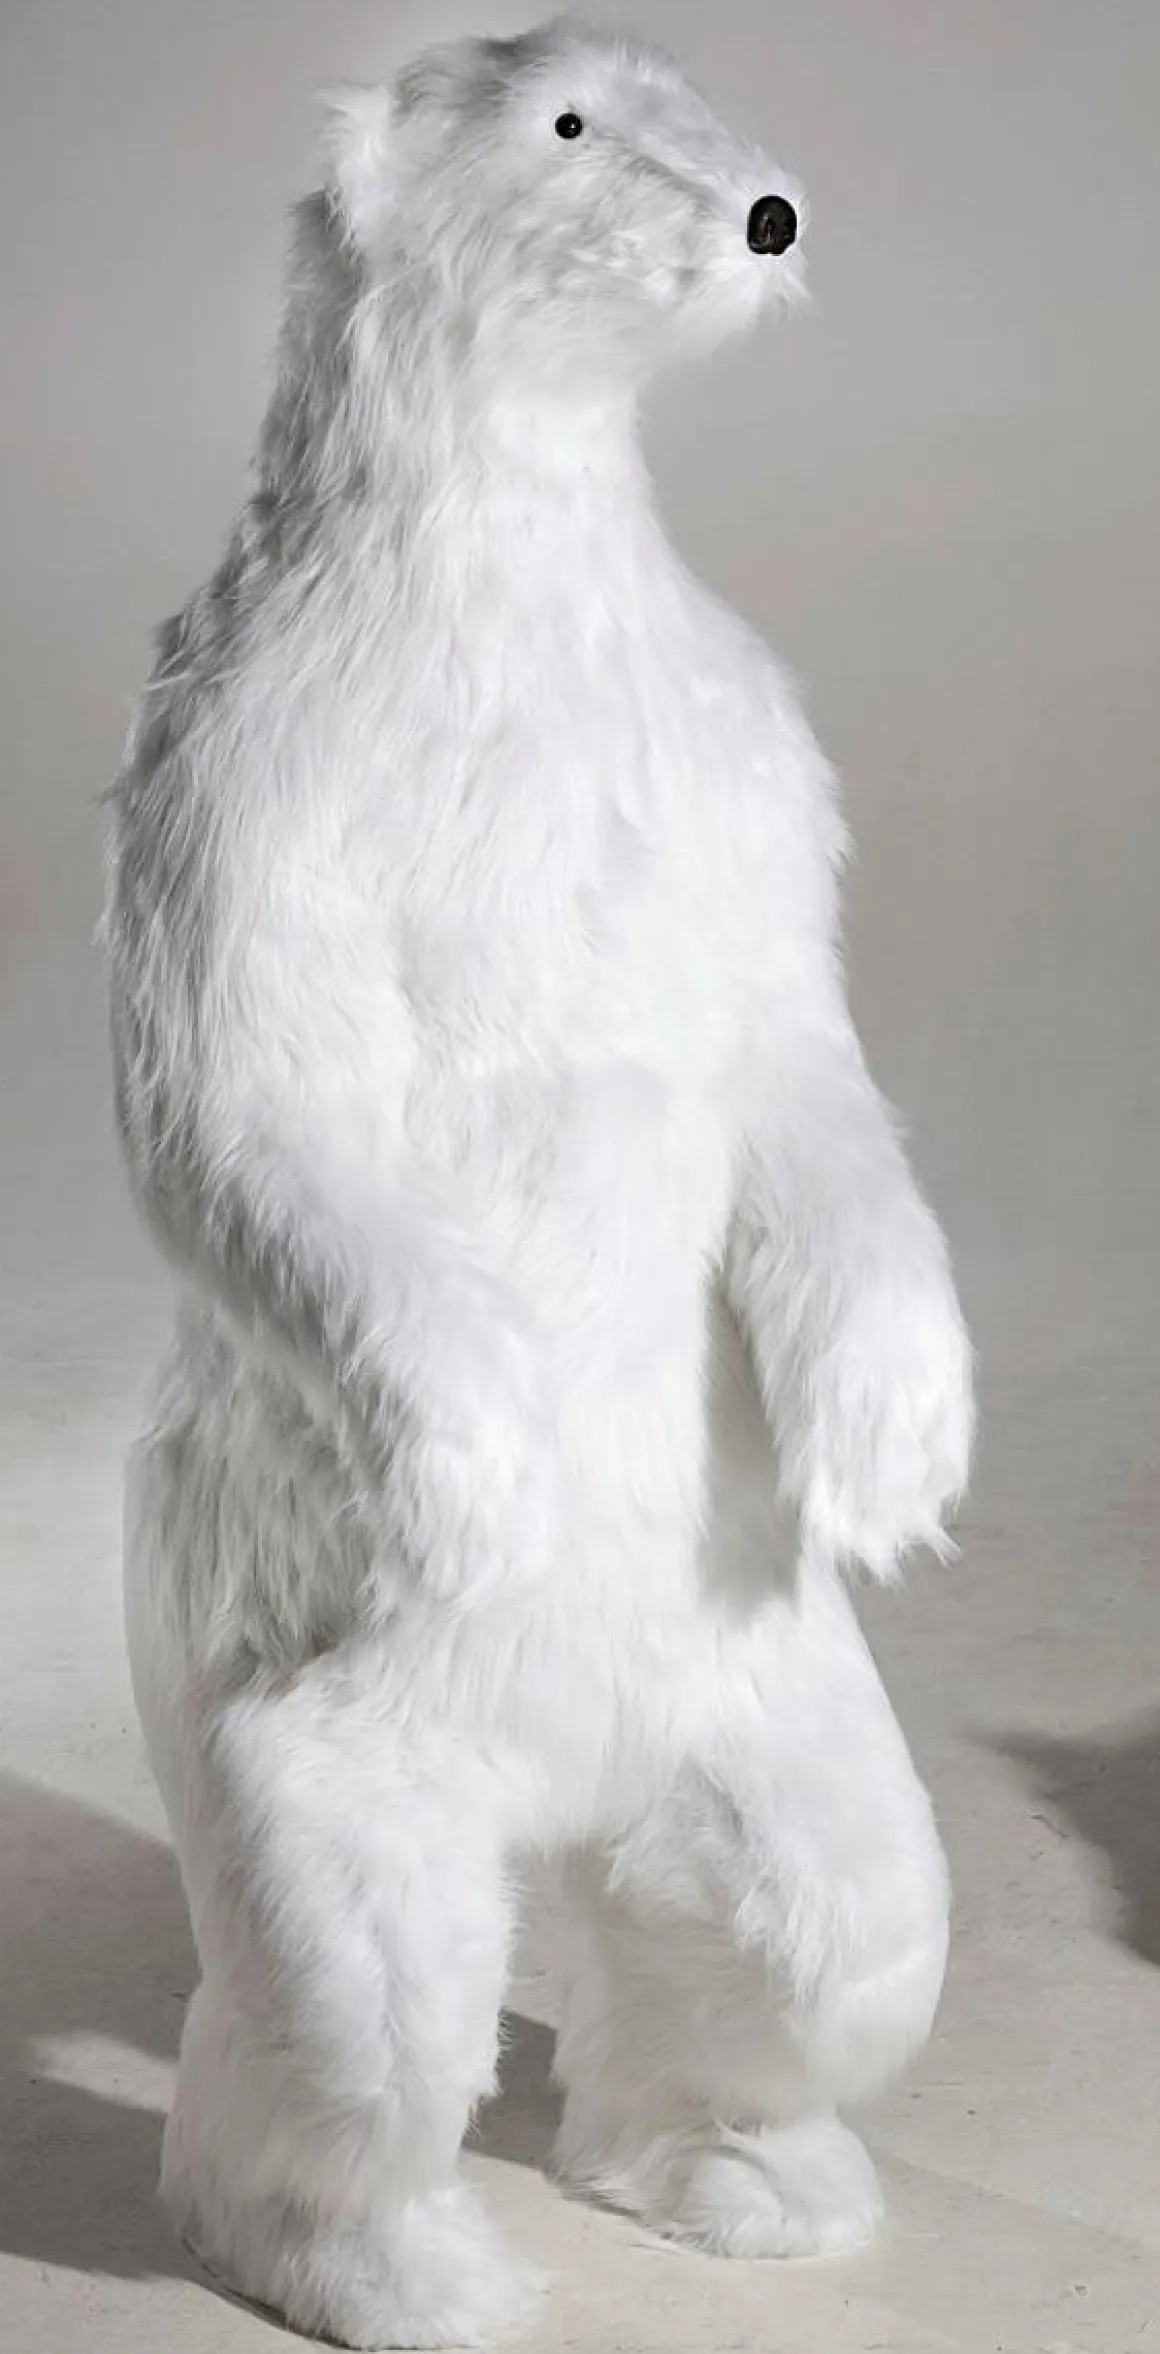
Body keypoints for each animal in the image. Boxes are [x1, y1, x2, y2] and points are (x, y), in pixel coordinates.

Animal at [104, 18, 974, 2349]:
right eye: (566, 119)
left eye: (690, 89)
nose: (764, 208)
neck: (498, 617)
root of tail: (557, 1791)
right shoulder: (255, 768)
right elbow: (246, 1112)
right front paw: (478, 1463)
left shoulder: (734, 753)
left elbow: (803, 1068)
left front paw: (897, 1444)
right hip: (308, 1715)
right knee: (350, 1980)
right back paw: (394, 2259)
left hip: (760, 1698)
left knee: (823, 1923)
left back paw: (747, 2171)